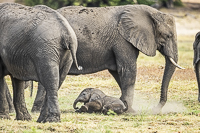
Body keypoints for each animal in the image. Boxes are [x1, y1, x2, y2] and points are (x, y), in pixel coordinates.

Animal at [32, 4, 184, 114]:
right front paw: (131, 112)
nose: (155, 109)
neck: (150, 12)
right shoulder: (122, 40)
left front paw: (125, 107)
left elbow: (118, 73)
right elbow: (128, 71)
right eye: (168, 36)